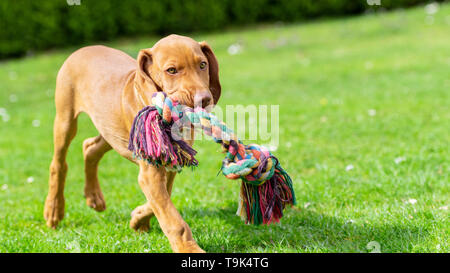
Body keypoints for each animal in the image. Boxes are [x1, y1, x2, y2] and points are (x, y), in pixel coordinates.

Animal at [44, 35, 221, 252]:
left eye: (203, 65)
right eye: (171, 70)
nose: (204, 100)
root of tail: (83, 49)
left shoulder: (170, 163)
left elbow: (161, 201)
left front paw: (138, 219)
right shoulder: (151, 172)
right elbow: (172, 218)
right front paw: (189, 248)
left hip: (110, 130)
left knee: (90, 148)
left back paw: (93, 197)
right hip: (65, 120)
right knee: (58, 164)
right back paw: (54, 210)